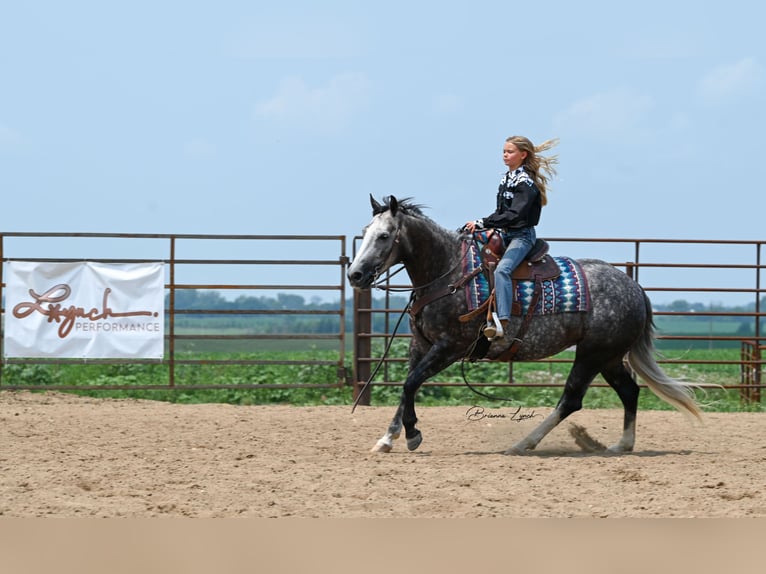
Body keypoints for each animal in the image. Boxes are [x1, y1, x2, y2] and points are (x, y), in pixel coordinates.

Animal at [348, 196, 704, 456]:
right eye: (364, 231)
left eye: (384, 236)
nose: (355, 274)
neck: (449, 272)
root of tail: (635, 288)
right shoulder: (420, 345)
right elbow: (406, 386)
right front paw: (387, 439)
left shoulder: (449, 347)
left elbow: (411, 384)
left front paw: (413, 435)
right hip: (610, 356)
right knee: (629, 391)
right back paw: (622, 445)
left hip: (591, 354)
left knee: (571, 399)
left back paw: (524, 444)